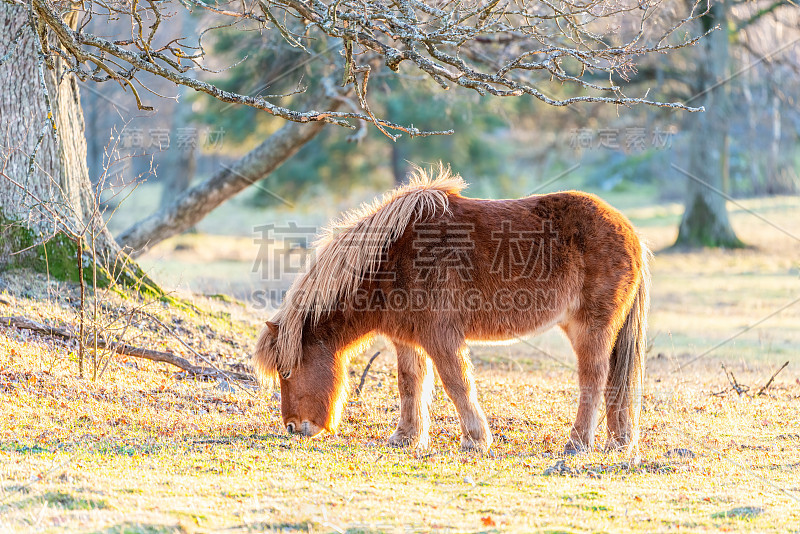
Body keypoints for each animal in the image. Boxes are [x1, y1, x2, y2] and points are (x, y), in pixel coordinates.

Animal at [253, 168, 652, 456]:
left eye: (286, 371)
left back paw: (578, 443)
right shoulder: (407, 340)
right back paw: (618, 441)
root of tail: (630, 232)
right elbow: (409, 384)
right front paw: (405, 437)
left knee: (594, 379)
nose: (293, 428)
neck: (392, 259)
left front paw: (475, 439)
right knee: (613, 382)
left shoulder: (441, 337)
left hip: (591, 328)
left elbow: (456, 384)